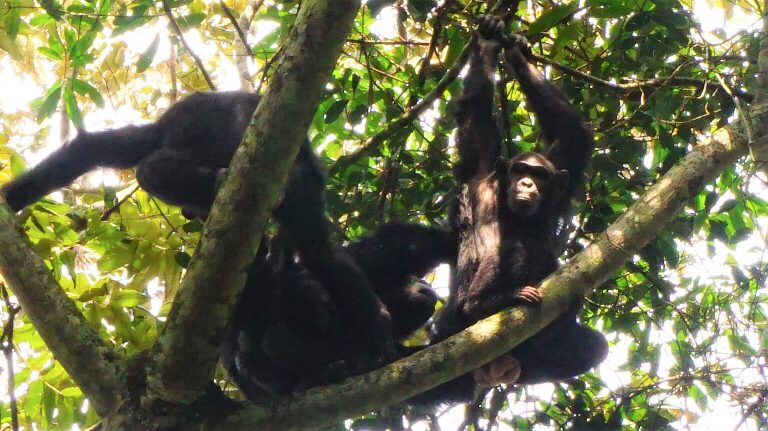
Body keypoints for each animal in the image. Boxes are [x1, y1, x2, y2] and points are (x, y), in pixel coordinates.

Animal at [412, 16, 608, 406]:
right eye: (519, 170)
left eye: (539, 174)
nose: (527, 184)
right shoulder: (479, 174)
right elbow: (475, 117)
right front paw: (488, 44)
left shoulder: (563, 172)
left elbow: (573, 133)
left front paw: (516, 52)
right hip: (459, 323)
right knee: (513, 250)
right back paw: (487, 304)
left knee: (597, 346)